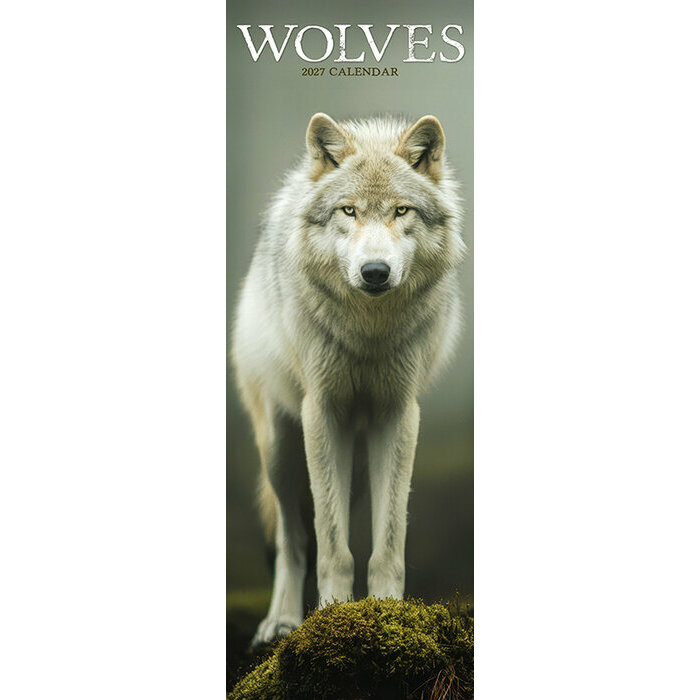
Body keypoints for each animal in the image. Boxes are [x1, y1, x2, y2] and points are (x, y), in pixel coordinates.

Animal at [232, 112, 465, 645]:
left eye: (401, 211)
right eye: (349, 211)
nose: (375, 271)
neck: (368, 333)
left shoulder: (398, 416)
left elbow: (389, 542)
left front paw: (387, 615)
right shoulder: (323, 412)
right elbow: (333, 547)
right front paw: (331, 618)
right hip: (281, 447)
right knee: (293, 540)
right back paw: (281, 621)